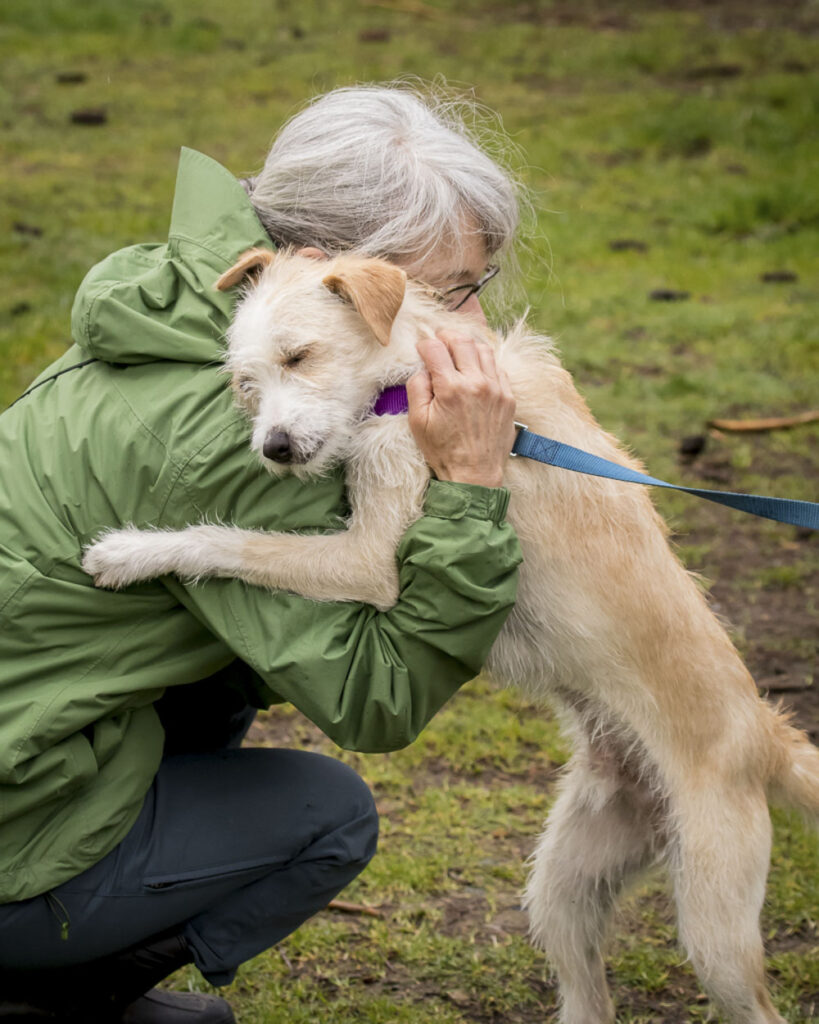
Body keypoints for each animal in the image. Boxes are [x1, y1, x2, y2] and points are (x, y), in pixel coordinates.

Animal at [84, 247, 818, 1024]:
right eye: (245, 382)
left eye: (299, 355)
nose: (273, 449)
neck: (404, 376)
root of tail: (765, 736)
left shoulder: (368, 560)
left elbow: (232, 539)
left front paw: (132, 551)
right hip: (564, 885)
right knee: (587, 991)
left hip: (714, 925)